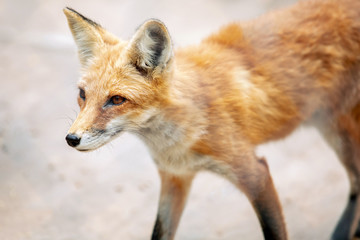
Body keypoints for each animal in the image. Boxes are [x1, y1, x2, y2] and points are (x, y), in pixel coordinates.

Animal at [64, 0, 360, 239]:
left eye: (116, 99)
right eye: (82, 95)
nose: (71, 139)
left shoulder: (255, 174)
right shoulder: (175, 178)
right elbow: (160, 232)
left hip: (337, 130)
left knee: (356, 181)